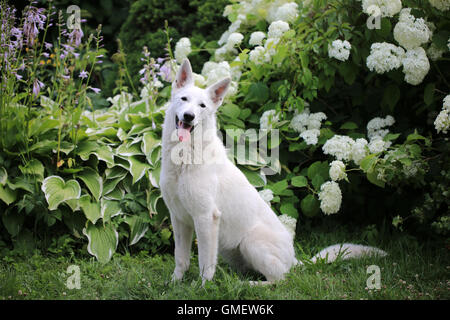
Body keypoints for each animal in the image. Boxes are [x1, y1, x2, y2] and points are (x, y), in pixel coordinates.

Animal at [159, 58, 386, 284]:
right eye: (184, 99)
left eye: (202, 106)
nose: (189, 116)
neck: (184, 159)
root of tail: (294, 259)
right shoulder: (179, 219)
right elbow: (181, 258)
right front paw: (175, 283)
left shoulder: (206, 217)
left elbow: (205, 263)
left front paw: (203, 287)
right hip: (228, 249)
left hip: (251, 242)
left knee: (279, 278)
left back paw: (249, 285)